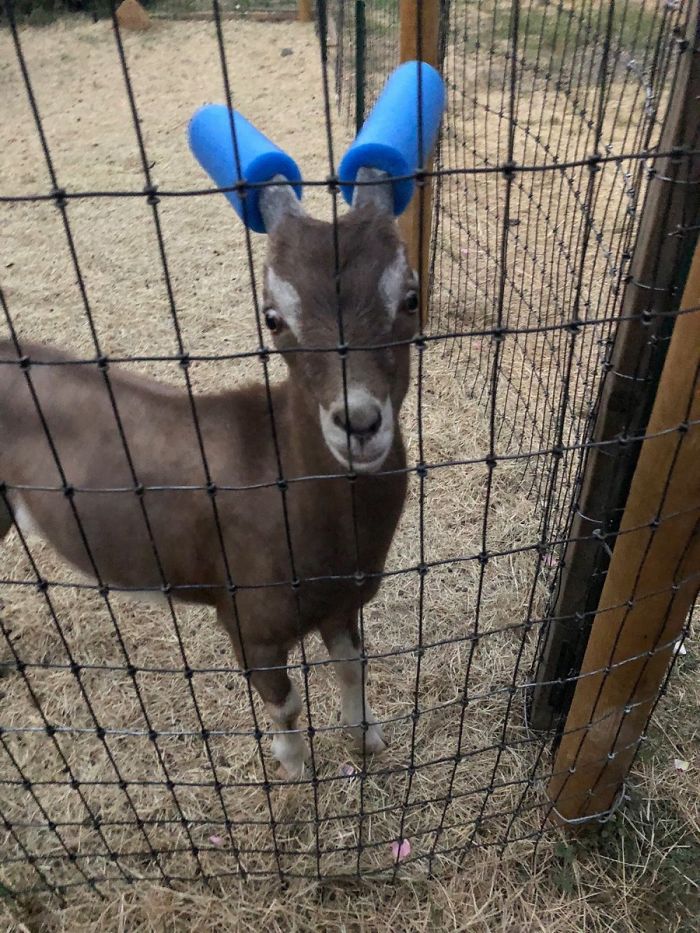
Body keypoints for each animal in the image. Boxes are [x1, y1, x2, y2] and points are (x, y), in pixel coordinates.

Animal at [0, 174, 419, 778]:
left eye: (410, 298)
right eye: (273, 316)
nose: (359, 423)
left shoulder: (341, 603)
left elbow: (352, 666)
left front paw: (367, 737)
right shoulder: (249, 623)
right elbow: (286, 702)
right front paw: (294, 767)